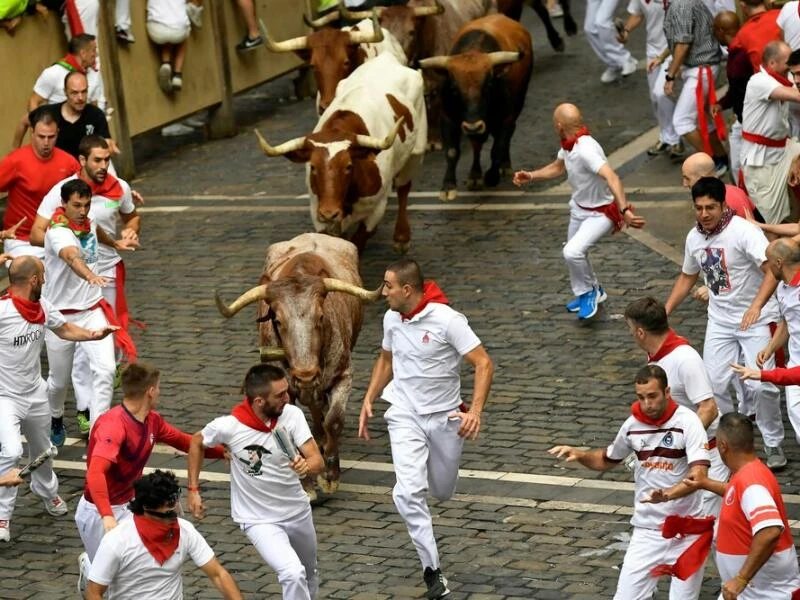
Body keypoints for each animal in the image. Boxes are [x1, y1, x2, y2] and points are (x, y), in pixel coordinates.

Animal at [214, 232, 380, 494]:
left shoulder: (344, 375)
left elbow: (334, 420)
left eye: (320, 316)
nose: (305, 374)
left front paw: (330, 475)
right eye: (278, 321)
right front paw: (307, 485)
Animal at [255, 52, 424, 255]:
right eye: (313, 167)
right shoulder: (317, 211)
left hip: (416, 152)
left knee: (404, 189)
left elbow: (359, 241)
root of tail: (386, 57)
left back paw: (401, 237)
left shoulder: (377, 208)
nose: (329, 212)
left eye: (349, 166)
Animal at [418, 13, 532, 202]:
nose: (473, 126)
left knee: (504, 138)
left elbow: (498, 148)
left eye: (488, 86)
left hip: (517, 105)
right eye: (454, 89)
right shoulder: (447, 118)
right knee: (477, 144)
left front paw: (492, 176)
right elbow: (452, 151)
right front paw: (448, 186)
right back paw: (475, 175)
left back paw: (504, 166)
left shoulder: (506, 117)